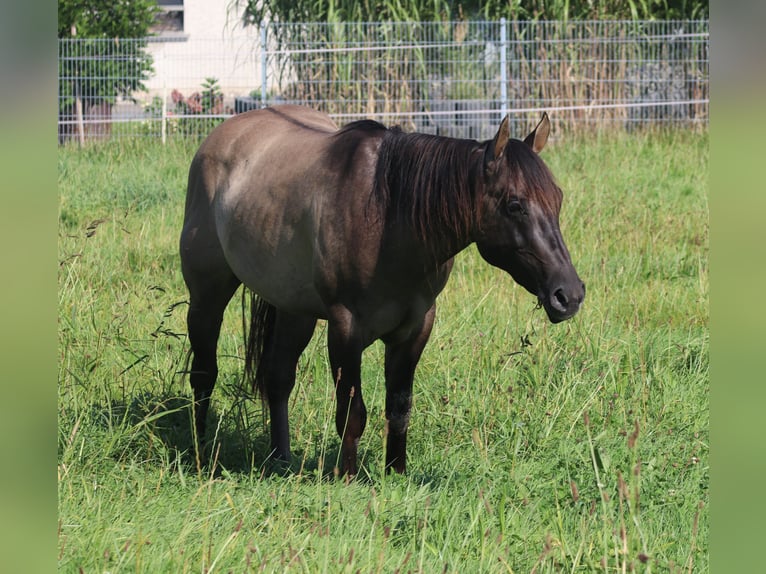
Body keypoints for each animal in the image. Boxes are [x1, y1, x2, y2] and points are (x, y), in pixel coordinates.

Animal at [182, 103, 588, 476]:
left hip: (294, 309)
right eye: (515, 204)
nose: (568, 295)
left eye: (558, 198)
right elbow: (352, 412)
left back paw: (280, 459)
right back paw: (200, 452)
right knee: (204, 374)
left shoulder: (416, 327)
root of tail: (223, 135)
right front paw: (346, 477)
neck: (389, 218)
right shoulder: (345, 326)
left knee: (278, 375)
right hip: (207, 296)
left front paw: (396, 472)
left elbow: (399, 406)